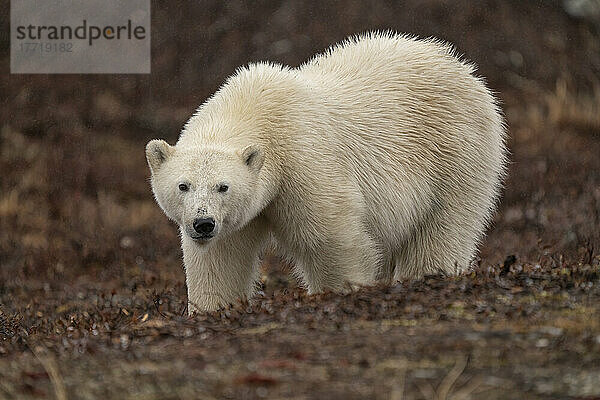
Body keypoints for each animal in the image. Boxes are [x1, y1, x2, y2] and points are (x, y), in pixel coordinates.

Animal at [145, 32, 506, 312]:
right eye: (183, 186)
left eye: (223, 186)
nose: (203, 223)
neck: (254, 109)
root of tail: (462, 67)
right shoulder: (238, 214)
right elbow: (221, 257)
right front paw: (211, 309)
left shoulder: (303, 159)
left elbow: (332, 237)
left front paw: (337, 293)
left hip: (455, 149)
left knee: (444, 227)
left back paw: (426, 276)